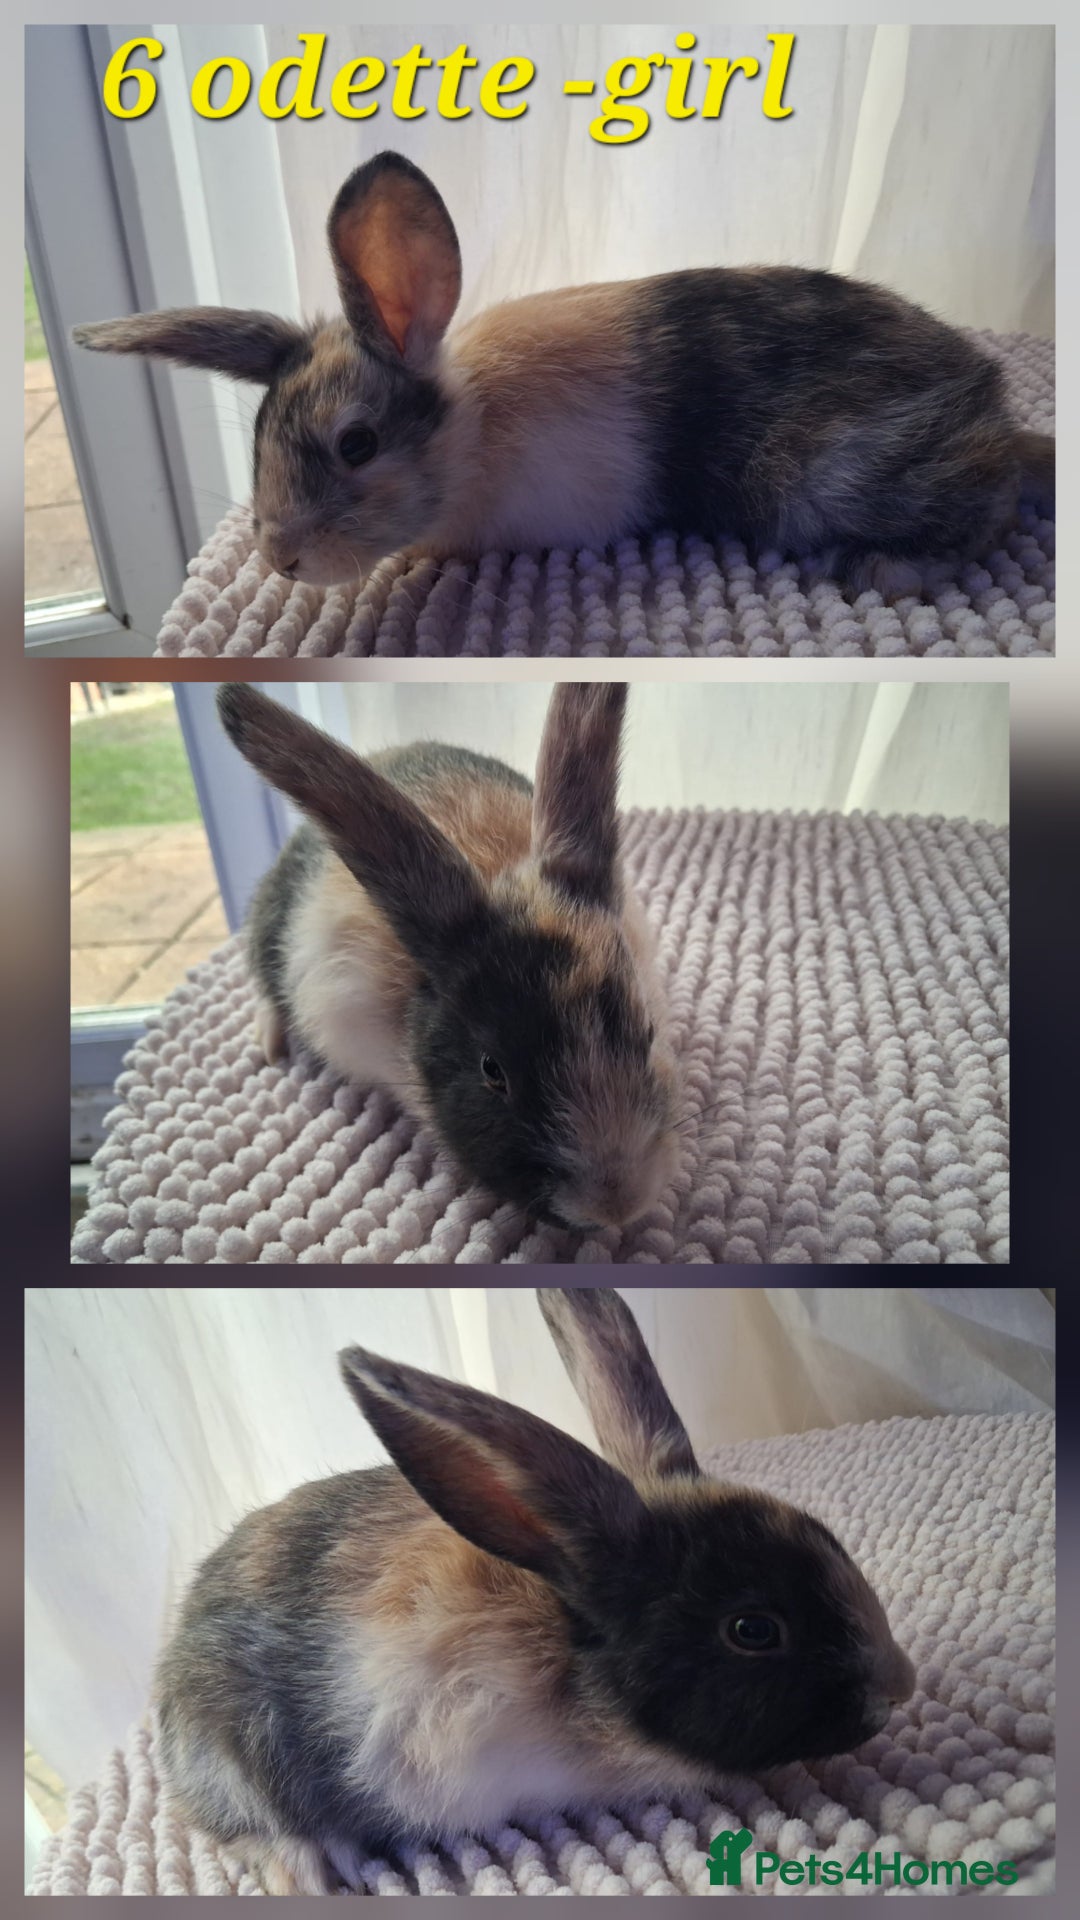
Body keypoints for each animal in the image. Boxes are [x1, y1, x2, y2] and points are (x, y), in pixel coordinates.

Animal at [72, 151, 1053, 596]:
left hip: (833, 477)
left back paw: (887, 570)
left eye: (357, 445)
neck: (470, 437)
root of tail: (991, 412)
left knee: (989, 516)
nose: (278, 557)